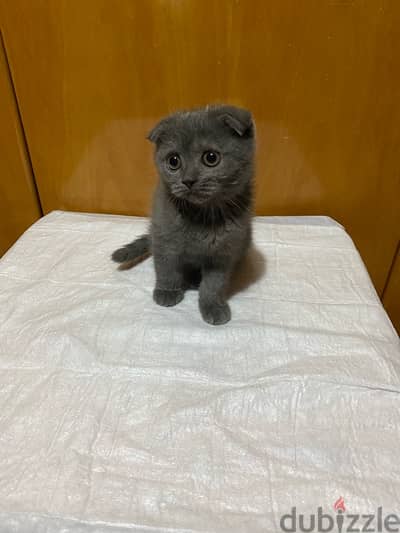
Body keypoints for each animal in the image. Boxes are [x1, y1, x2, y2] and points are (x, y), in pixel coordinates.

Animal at [112, 104, 255, 324]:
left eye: (211, 157)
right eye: (173, 161)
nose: (188, 180)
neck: (201, 215)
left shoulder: (223, 252)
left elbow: (214, 284)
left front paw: (213, 305)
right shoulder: (163, 238)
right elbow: (166, 268)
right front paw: (167, 291)